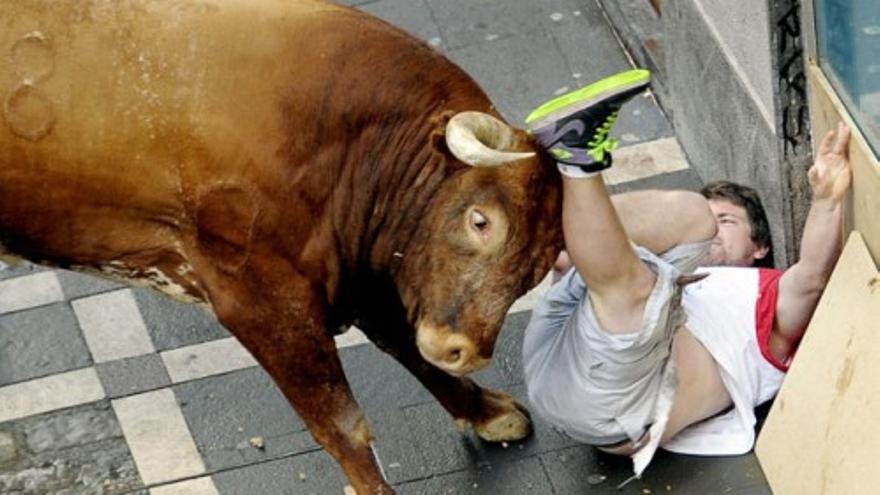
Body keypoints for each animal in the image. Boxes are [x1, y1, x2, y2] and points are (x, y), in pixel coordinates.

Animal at [0, 1, 564, 494]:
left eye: (536, 270)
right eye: (480, 220)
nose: (463, 351)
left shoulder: (361, 275)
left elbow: (404, 345)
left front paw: (489, 413)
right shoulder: (262, 302)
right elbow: (341, 423)